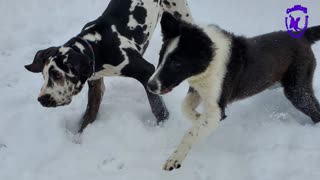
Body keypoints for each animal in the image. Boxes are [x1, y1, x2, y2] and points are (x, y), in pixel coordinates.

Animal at [23, 0, 192, 132]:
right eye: (44, 75)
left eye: (57, 74)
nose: (41, 99)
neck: (97, 45)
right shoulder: (95, 84)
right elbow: (89, 115)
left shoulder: (146, 72)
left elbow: (158, 108)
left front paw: (163, 126)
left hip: (181, 13)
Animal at [148, 12, 320, 170]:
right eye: (160, 57)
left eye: (176, 63)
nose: (150, 85)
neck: (210, 59)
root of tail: (304, 36)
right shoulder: (199, 90)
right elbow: (185, 108)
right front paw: (198, 117)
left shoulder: (216, 107)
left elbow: (191, 132)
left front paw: (175, 158)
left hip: (296, 90)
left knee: (315, 112)